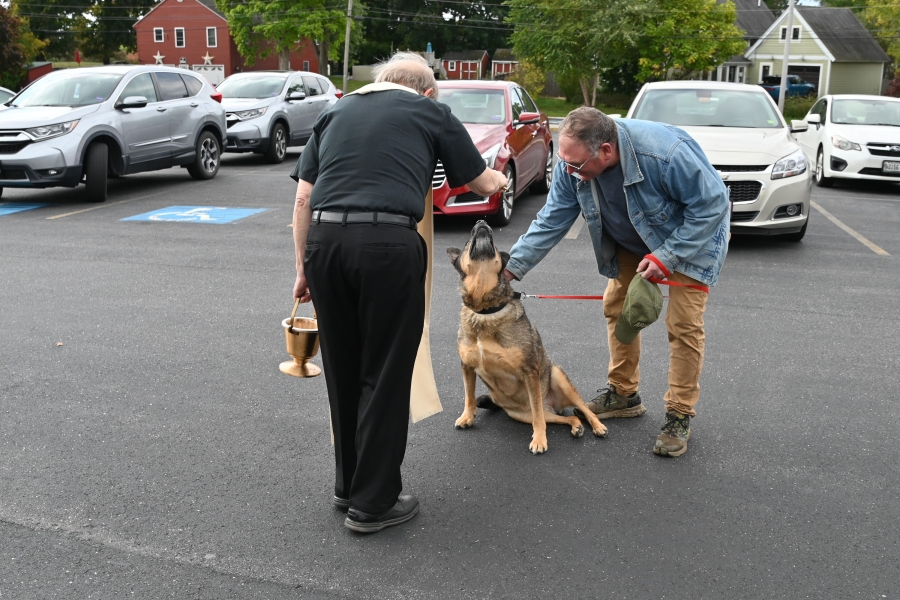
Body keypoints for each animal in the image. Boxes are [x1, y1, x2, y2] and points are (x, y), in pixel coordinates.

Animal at [446, 221, 608, 454]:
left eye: (495, 246)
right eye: (468, 242)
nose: (481, 223)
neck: (485, 310)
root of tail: (552, 404)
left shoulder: (530, 371)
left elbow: (538, 415)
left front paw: (539, 440)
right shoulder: (467, 366)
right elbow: (469, 395)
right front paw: (467, 417)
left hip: (558, 377)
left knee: (581, 409)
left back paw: (597, 426)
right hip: (523, 415)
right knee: (566, 418)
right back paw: (576, 427)